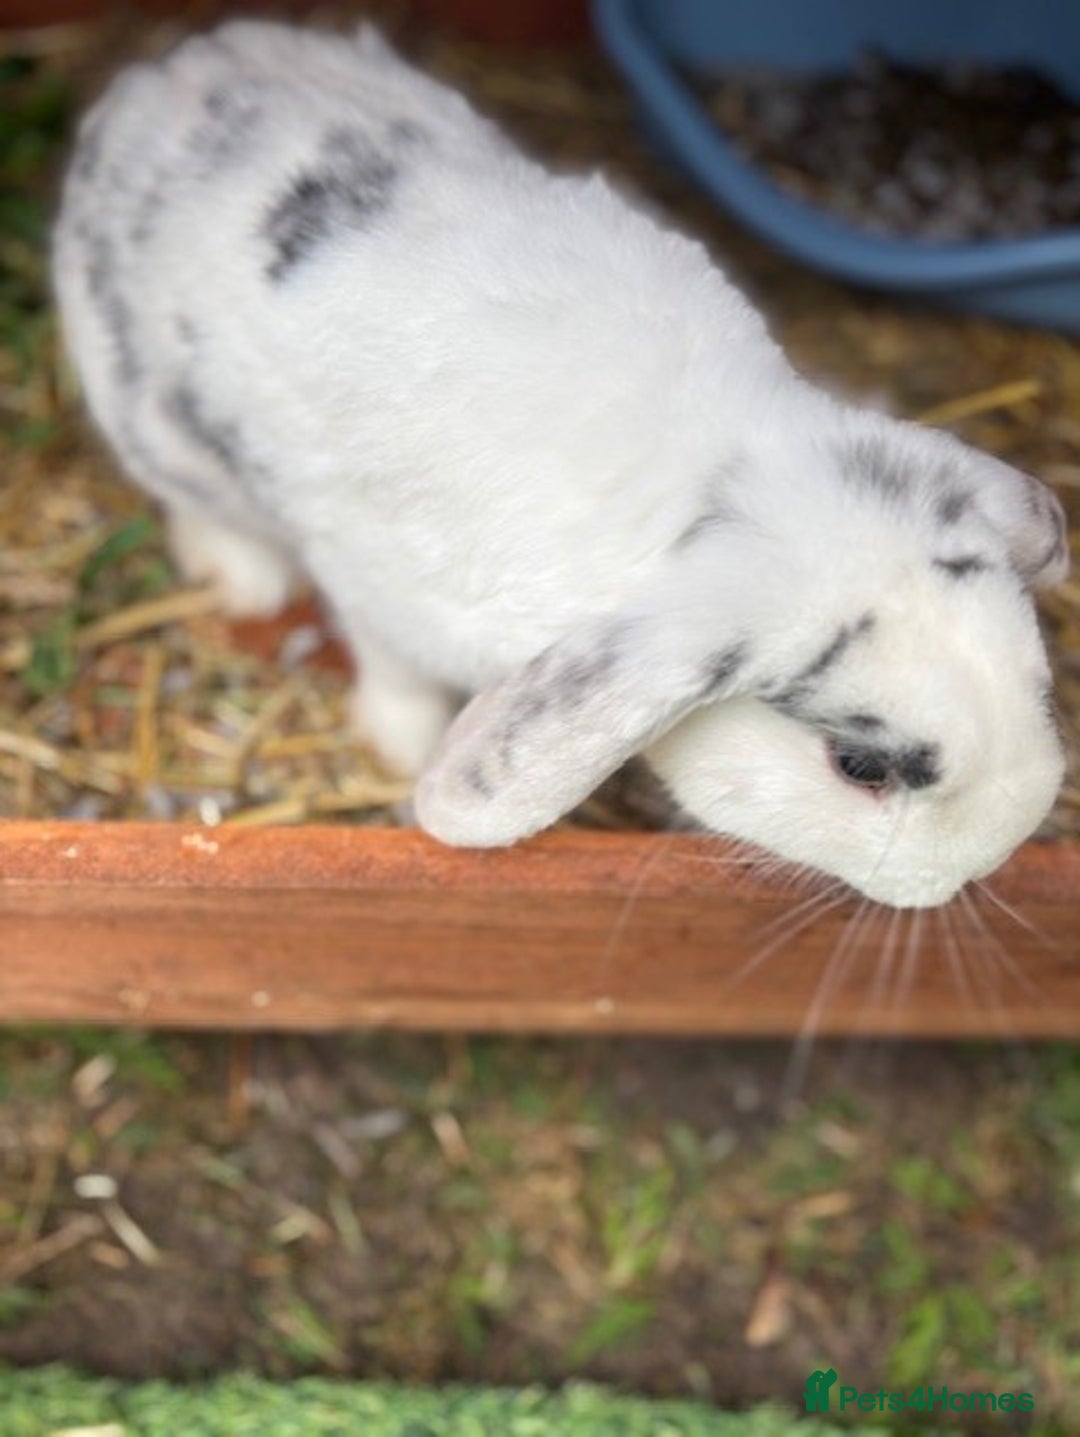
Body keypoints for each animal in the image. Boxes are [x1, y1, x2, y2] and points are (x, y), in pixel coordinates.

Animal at [53, 20, 1069, 909]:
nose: (995, 856)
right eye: (859, 767)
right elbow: (393, 674)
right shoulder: (377, 586)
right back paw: (243, 578)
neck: (719, 485)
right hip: (152, 419)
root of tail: (160, 81)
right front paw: (404, 754)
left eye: (1037, 677)